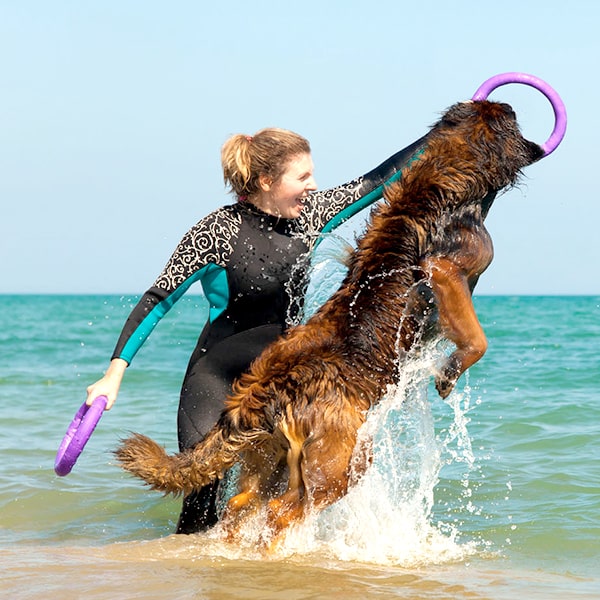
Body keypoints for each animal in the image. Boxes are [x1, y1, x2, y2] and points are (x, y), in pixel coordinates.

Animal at [113, 102, 544, 544]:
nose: (537, 142)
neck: (446, 176)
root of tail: (268, 386)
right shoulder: (446, 272)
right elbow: (477, 339)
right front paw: (448, 373)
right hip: (340, 462)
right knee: (282, 511)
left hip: (270, 456)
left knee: (241, 505)